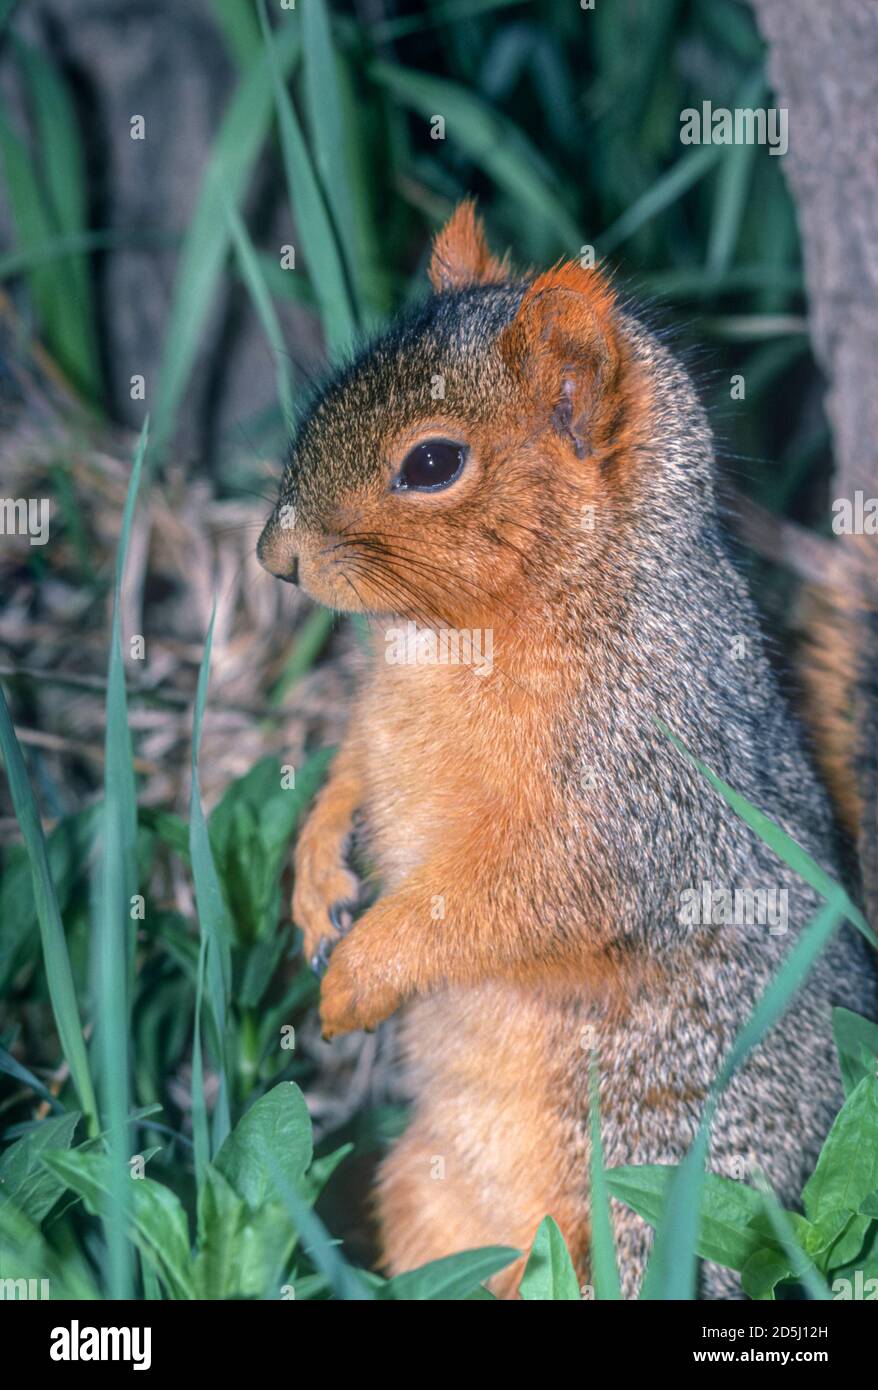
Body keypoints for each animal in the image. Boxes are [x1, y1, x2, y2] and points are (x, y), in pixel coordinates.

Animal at [257, 201, 872, 1295]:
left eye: (430, 463)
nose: (273, 558)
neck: (449, 635)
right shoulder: (377, 723)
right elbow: (350, 771)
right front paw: (317, 876)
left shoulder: (631, 791)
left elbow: (520, 897)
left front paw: (360, 974)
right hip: (427, 1192)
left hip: (652, 1213)